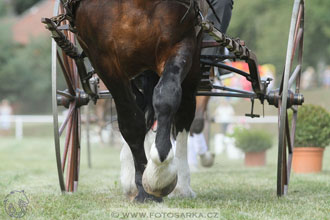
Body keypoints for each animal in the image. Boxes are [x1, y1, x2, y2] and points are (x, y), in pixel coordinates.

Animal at [75, 0, 208, 202]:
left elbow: (166, 97)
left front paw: (159, 174)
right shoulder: (103, 58)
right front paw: (143, 188)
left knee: (184, 113)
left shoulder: (179, 41)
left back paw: (182, 186)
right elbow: (131, 122)